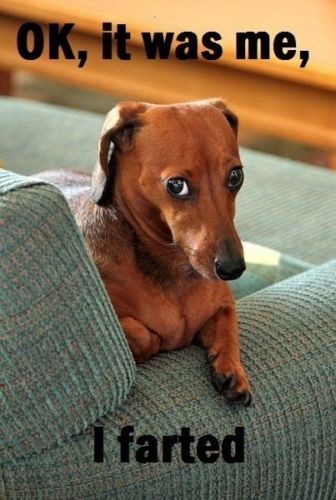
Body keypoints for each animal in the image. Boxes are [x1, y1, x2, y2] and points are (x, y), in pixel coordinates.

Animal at [38, 98, 251, 406]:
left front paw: (232, 369)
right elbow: (141, 333)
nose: (233, 268)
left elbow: (228, 327)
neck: (173, 268)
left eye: (236, 176)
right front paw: (152, 345)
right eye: (176, 185)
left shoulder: (224, 304)